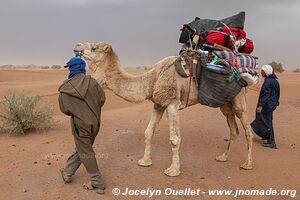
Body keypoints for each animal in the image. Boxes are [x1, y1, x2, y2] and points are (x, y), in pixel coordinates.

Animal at [72, 41, 253, 177]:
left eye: (94, 47)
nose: (77, 45)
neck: (152, 79)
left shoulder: (172, 104)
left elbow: (174, 139)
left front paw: (173, 170)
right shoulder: (159, 104)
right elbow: (148, 132)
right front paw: (145, 161)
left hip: (238, 100)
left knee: (247, 129)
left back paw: (247, 164)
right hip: (224, 104)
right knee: (233, 129)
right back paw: (222, 157)